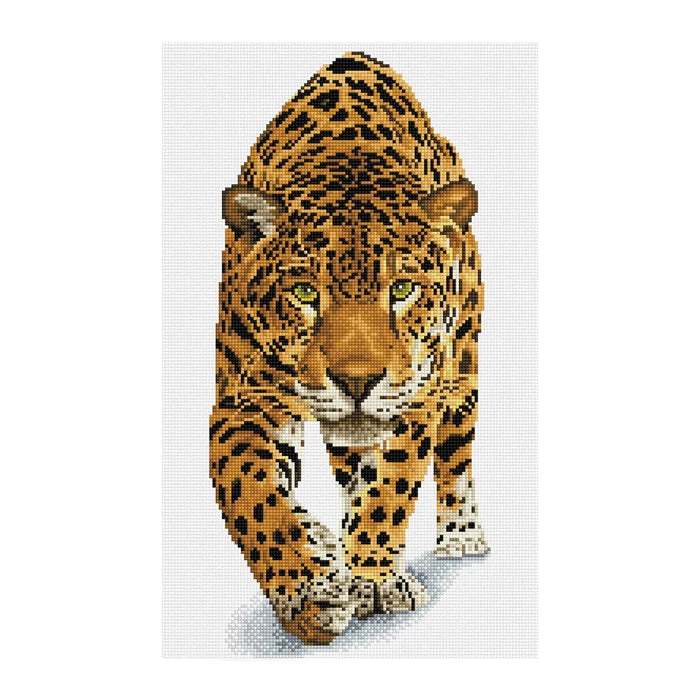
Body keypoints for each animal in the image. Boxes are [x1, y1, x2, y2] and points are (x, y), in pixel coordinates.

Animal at [210, 51, 488, 645]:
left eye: (402, 290)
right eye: (304, 293)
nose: (357, 381)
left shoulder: (418, 397)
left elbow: (391, 487)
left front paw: (373, 580)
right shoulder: (245, 401)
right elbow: (251, 496)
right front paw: (308, 593)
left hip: (464, 368)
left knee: (456, 452)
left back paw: (460, 533)